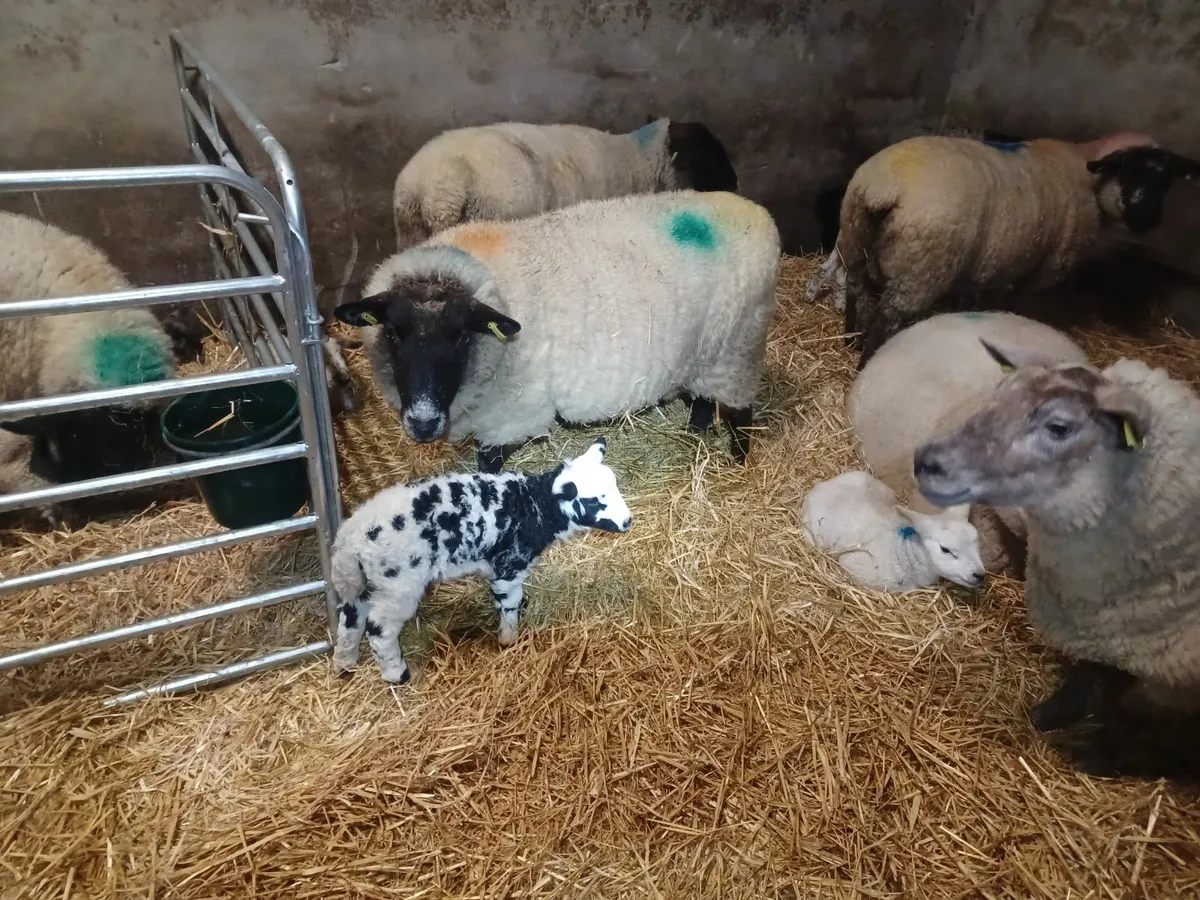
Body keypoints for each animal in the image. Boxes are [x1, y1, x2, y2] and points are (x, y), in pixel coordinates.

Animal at [330, 437, 632, 683]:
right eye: (594, 501)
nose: (628, 522)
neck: (533, 505)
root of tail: (350, 539)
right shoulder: (509, 563)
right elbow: (508, 601)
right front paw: (508, 639)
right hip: (399, 583)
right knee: (379, 628)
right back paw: (397, 674)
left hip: (366, 582)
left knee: (351, 616)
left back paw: (345, 663)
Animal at [335, 188, 781, 473]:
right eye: (393, 334)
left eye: (460, 336)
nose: (423, 423)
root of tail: (759, 214)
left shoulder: (511, 414)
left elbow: (488, 463)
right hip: (704, 353)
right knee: (703, 400)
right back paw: (693, 436)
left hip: (738, 347)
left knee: (740, 416)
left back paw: (737, 466)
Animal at [837, 131, 1200, 367]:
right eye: (1126, 170)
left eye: (1166, 180)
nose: (1147, 218)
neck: (1086, 171)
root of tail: (883, 188)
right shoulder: (1044, 268)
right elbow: (1012, 304)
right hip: (921, 267)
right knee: (889, 318)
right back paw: (867, 361)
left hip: (856, 240)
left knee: (857, 291)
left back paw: (850, 339)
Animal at [912, 342, 1200, 778]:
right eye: (1000, 391)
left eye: (1059, 427)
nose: (925, 461)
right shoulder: (1105, 627)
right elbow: (1086, 673)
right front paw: (1051, 714)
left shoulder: (1165, 677)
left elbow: (1130, 715)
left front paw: (1097, 758)